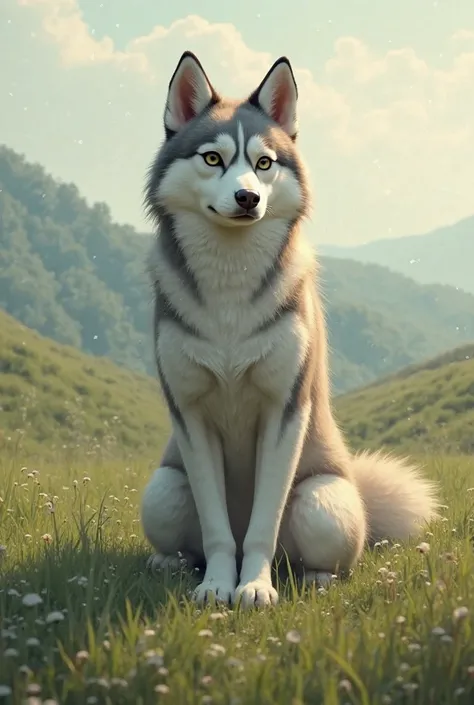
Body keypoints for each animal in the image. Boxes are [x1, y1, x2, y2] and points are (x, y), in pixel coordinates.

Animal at [140, 52, 436, 608]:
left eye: (264, 163)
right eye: (213, 159)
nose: (247, 198)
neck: (230, 286)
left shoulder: (286, 407)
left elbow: (263, 523)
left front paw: (253, 587)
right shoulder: (188, 411)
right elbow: (217, 529)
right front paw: (218, 585)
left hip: (323, 500)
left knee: (318, 555)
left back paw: (315, 578)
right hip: (163, 489)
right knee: (182, 534)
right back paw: (169, 563)